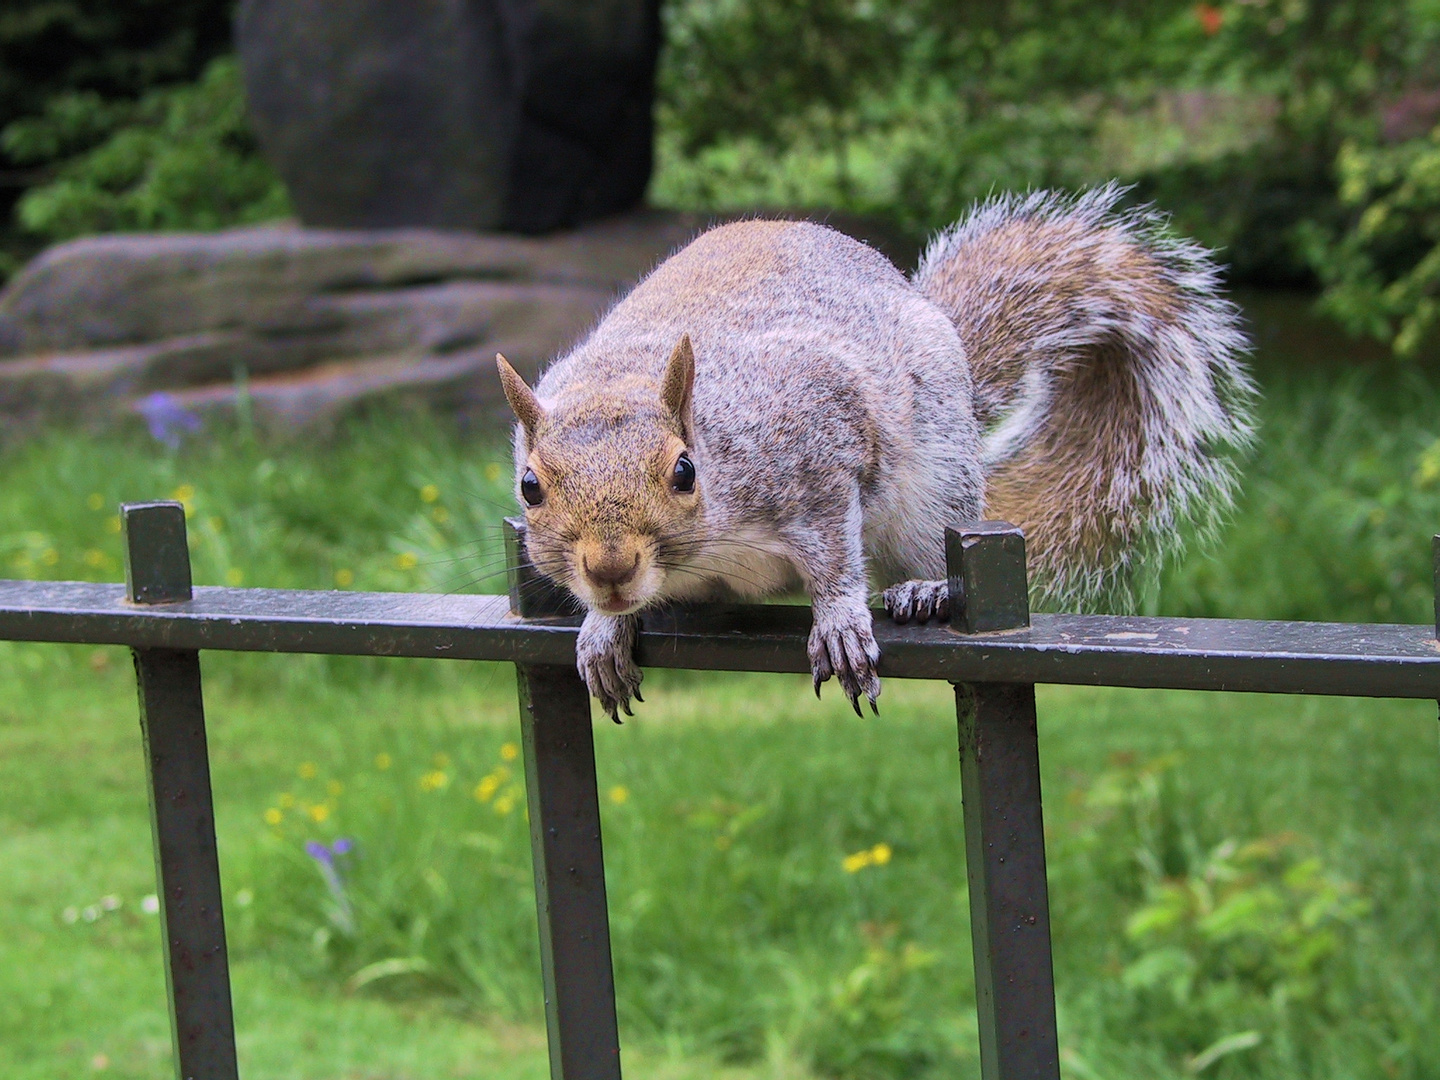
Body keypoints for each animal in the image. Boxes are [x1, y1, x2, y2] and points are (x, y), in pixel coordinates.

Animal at [492, 188, 1249, 720]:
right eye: (529, 486)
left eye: (684, 472)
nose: (610, 569)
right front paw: (601, 629)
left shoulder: (819, 445)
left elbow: (834, 552)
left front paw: (838, 622)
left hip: (937, 477)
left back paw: (926, 586)